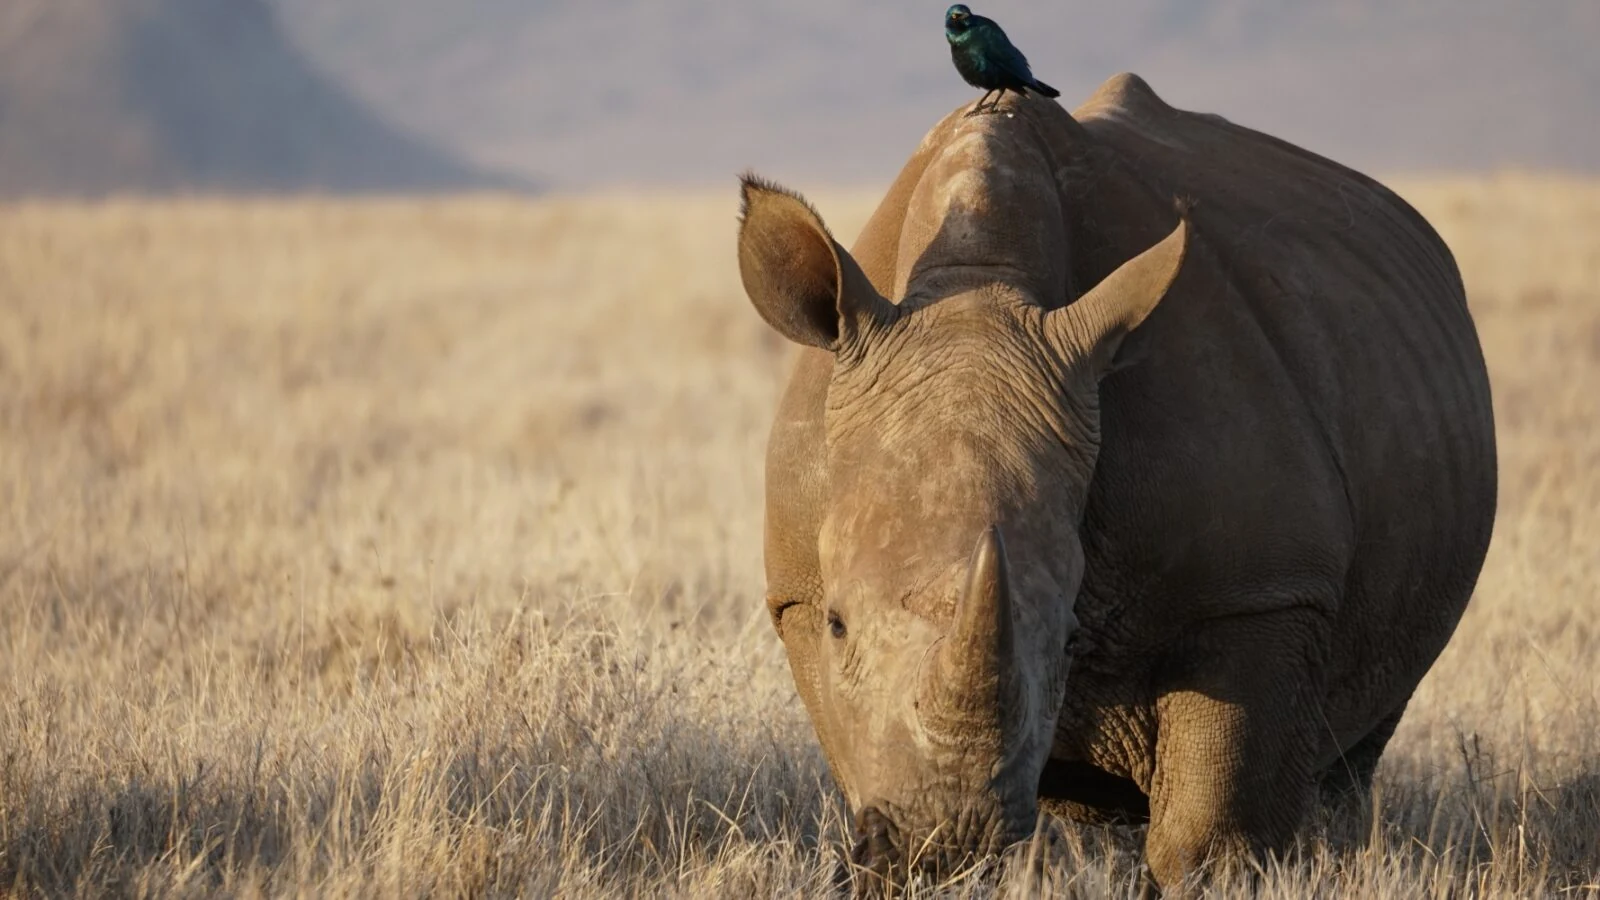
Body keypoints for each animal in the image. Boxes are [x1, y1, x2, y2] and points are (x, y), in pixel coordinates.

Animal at [735, 73, 1496, 890]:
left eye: (1072, 636)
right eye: (838, 623)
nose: (947, 843)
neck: (980, 286)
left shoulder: (1262, 590)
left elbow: (1211, 839)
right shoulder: (798, 591)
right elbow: (862, 743)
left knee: (1350, 760)